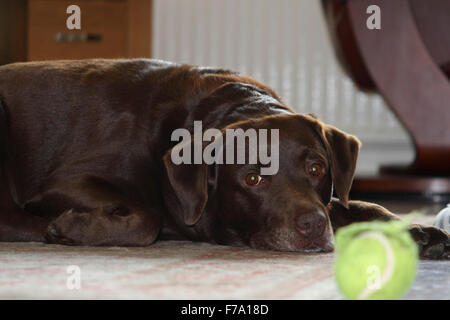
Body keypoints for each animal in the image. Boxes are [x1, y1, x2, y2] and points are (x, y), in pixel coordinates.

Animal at [0, 58, 448, 258]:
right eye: (252, 179)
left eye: (316, 168)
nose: (312, 226)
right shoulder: (65, 182)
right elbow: (146, 217)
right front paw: (75, 225)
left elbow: (360, 204)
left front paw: (419, 231)